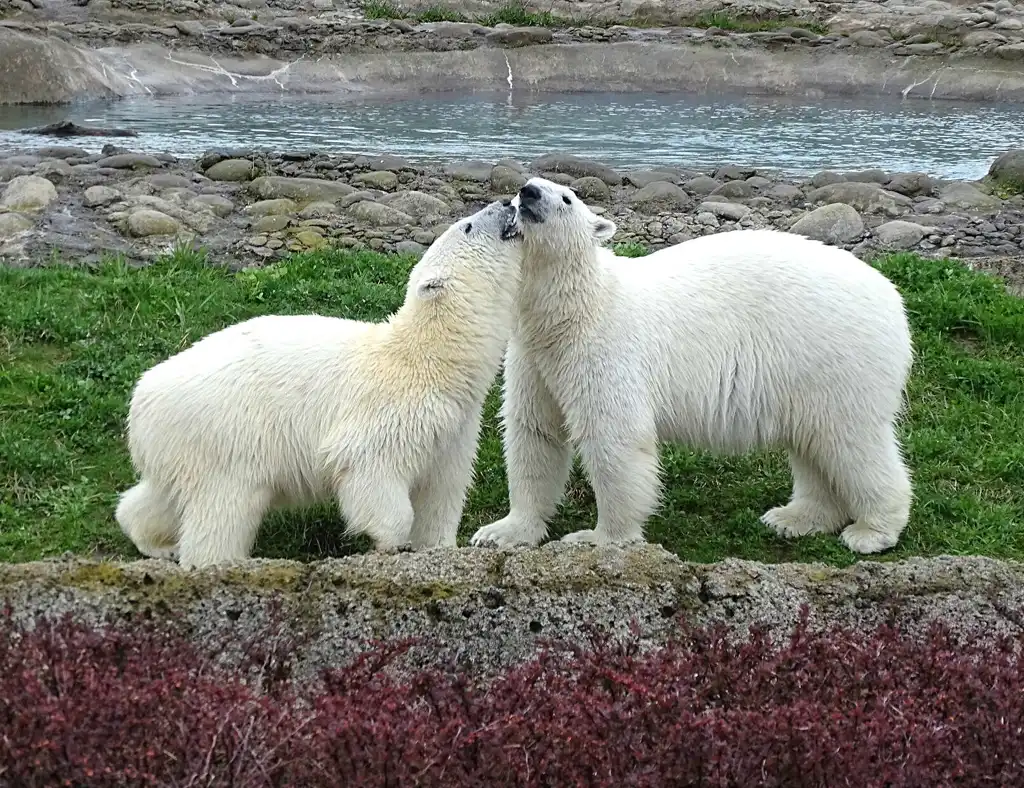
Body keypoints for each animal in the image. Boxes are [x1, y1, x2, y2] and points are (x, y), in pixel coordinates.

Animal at [116, 196, 524, 564]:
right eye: (467, 225)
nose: (508, 202)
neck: (430, 360)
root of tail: (141, 397)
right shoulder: (389, 413)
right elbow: (369, 471)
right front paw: (393, 543)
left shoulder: (453, 427)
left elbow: (442, 492)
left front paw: (437, 546)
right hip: (224, 433)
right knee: (224, 507)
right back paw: (214, 560)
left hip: (180, 443)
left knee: (162, 494)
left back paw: (157, 542)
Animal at [468, 173, 913, 552]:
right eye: (522, 190)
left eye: (567, 197)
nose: (528, 192)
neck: (573, 312)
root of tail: (892, 298)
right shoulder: (534, 357)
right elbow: (534, 433)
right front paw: (502, 532)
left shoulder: (605, 350)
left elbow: (616, 439)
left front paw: (597, 538)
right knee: (812, 443)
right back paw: (794, 518)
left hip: (836, 353)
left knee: (850, 439)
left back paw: (872, 531)